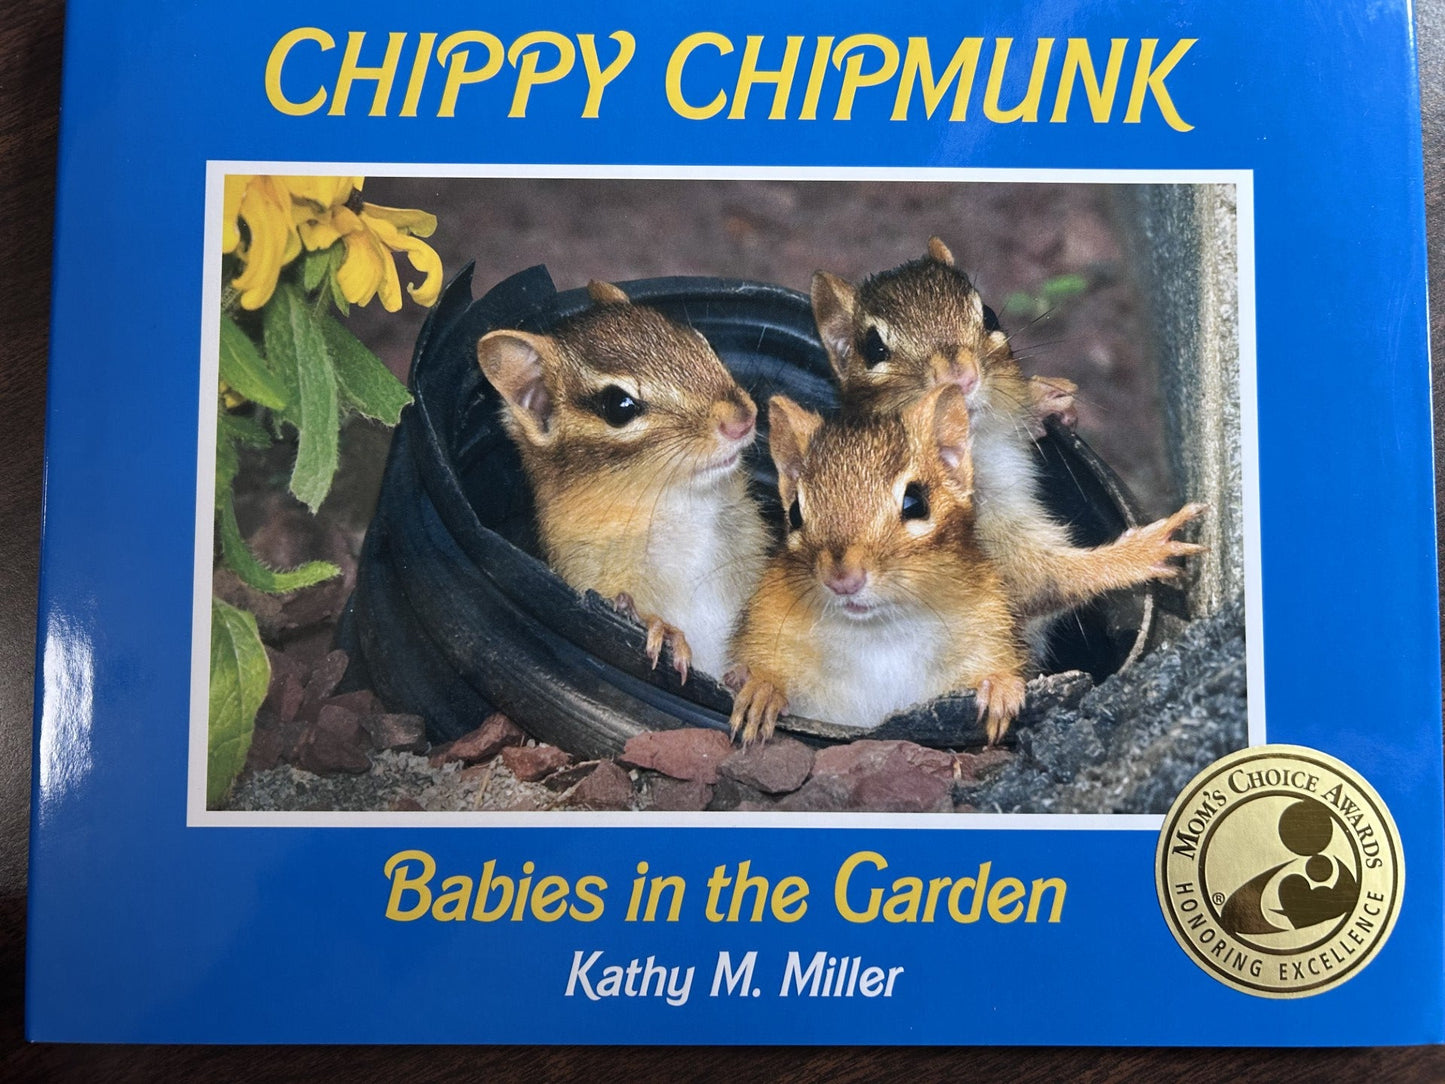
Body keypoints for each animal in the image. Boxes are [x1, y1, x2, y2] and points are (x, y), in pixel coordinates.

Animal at [728, 383, 1028, 745]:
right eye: (796, 513)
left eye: (916, 503)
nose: (843, 579)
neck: (879, 633)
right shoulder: (767, 624)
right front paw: (762, 690)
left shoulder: (990, 626)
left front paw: (999, 688)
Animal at [810, 237, 1206, 643]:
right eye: (873, 348)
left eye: (989, 316)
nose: (961, 376)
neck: (982, 449)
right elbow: (1047, 579)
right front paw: (1142, 551)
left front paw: (1043, 399)